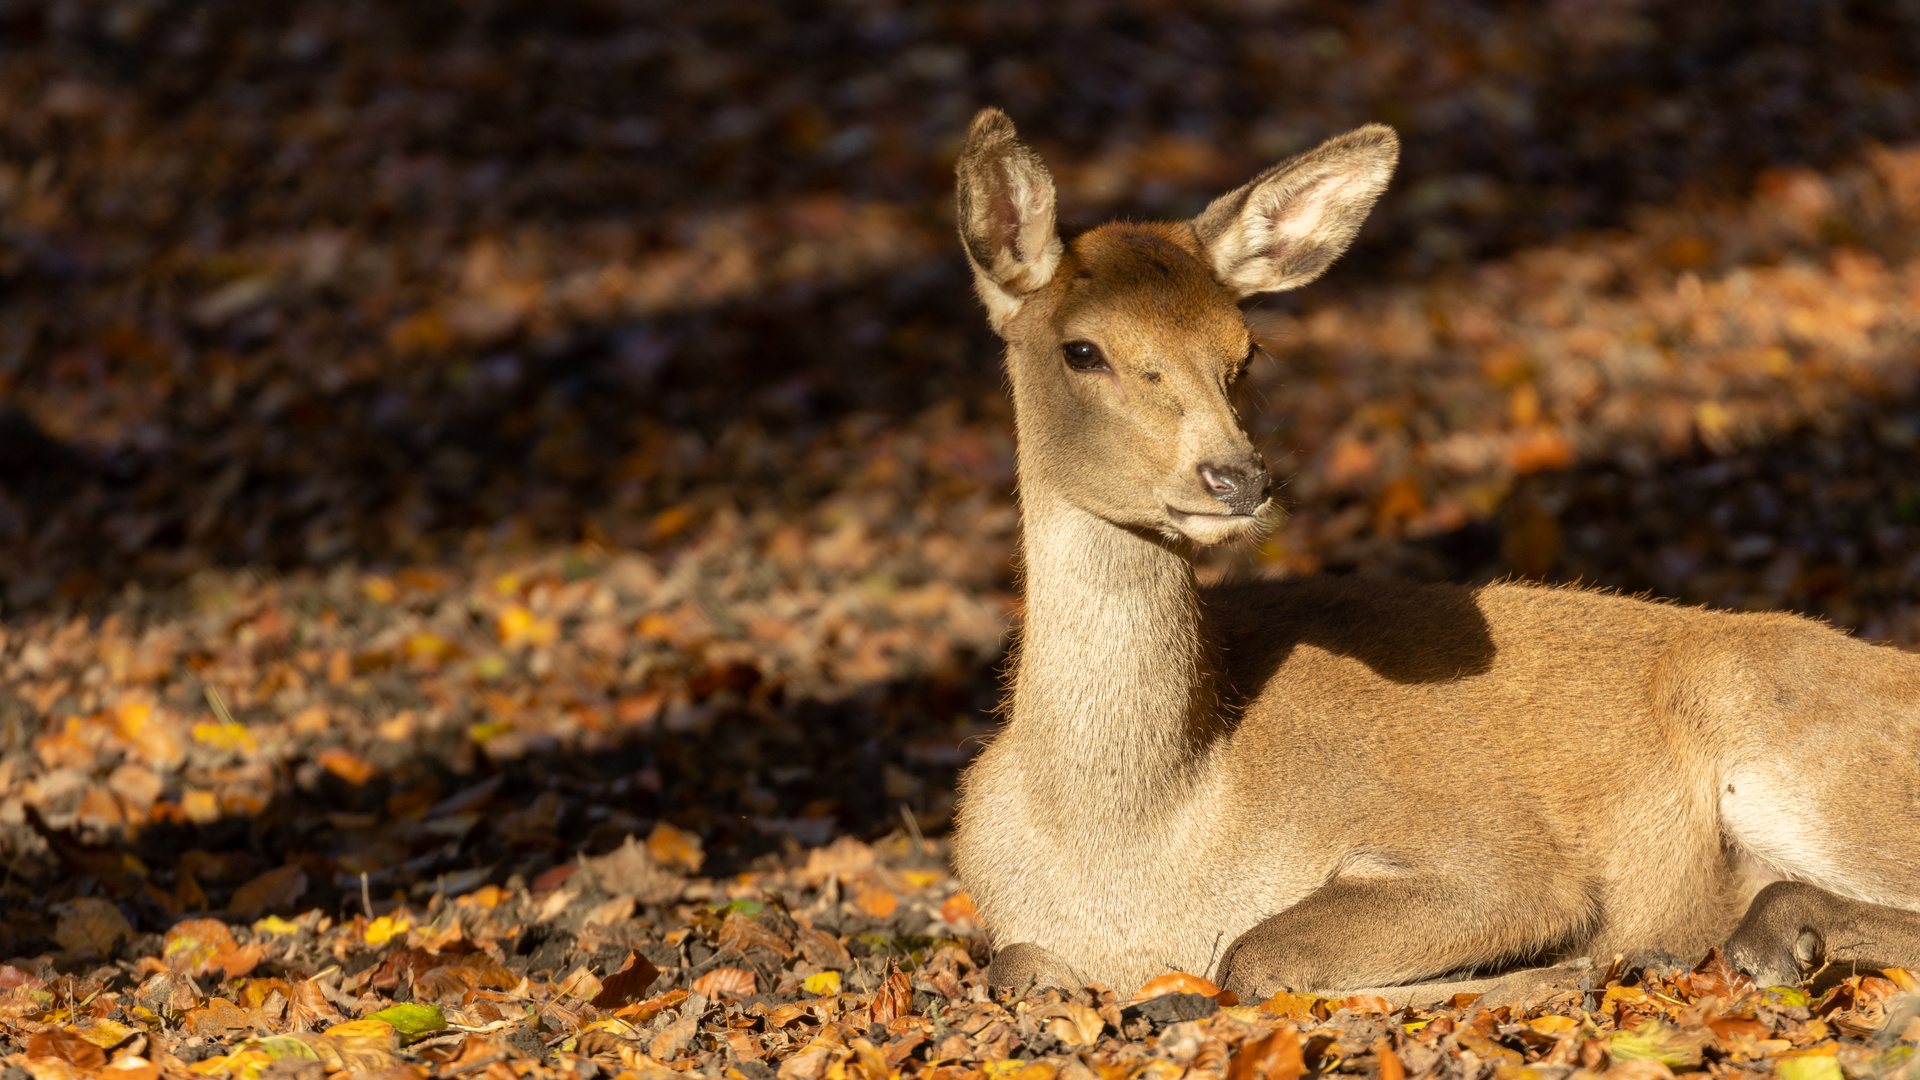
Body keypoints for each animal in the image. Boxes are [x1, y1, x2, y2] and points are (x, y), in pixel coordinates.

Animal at [948, 105, 1920, 1006]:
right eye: (1082, 349)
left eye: (1246, 351)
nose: (1237, 477)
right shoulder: (1016, 924)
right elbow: (1014, 965)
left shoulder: (1490, 855)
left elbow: (1258, 954)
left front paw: (1556, 971)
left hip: (1783, 735)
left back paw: (1766, 939)